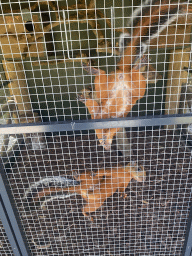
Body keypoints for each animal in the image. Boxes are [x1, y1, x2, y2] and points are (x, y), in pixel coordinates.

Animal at [77, 0, 190, 149]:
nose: (106, 146)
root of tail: (122, 72)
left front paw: (106, 139)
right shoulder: (97, 115)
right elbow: (95, 113)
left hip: (122, 86)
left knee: (108, 74)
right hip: (114, 86)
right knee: (107, 75)